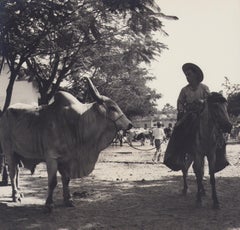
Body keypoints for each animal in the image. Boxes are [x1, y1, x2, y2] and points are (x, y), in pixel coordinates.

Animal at [0, 77, 131, 212]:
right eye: (112, 108)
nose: (130, 124)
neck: (78, 122)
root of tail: (5, 113)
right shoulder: (52, 157)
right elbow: (52, 182)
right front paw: (49, 203)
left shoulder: (67, 159)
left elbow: (66, 180)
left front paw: (68, 200)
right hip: (8, 151)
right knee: (12, 173)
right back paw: (15, 195)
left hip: (17, 154)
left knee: (16, 172)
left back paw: (18, 193)